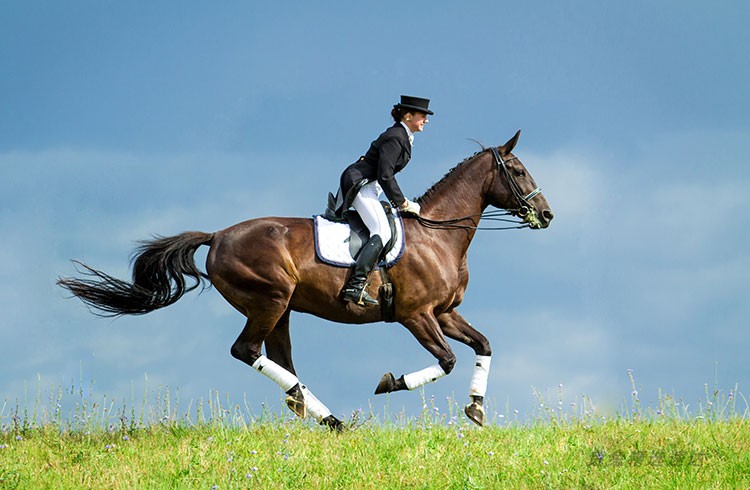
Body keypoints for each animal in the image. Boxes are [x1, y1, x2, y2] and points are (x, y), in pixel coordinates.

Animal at [58, 130, 552, 428]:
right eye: (519, 170)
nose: (546, 215)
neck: (437, 234)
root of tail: (217, 236)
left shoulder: (445, 312)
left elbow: (483, 345)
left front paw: (476, 408)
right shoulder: (416, 315)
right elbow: (446, 361)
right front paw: (389, 382)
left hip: (281, 309)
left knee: (280, 362)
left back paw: (319, 415)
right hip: (270, 299)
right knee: (247, 351)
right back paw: (331, 420)